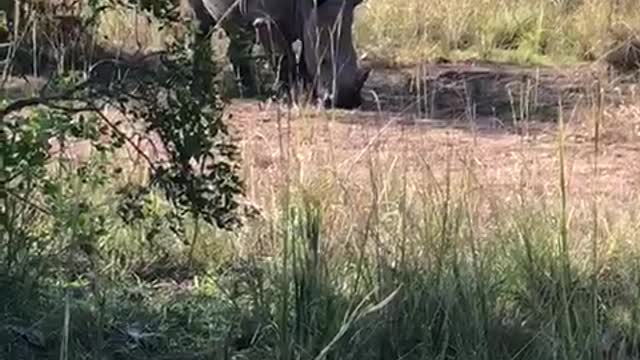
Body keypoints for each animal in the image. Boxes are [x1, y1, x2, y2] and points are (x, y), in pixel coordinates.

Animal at [184, 0, 370, 108]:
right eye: (324, 61)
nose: (347, 102)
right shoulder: (266, 21)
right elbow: (283, 57)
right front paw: (286, 96)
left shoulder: (306, 24)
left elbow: (303, 58)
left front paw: (307, 91)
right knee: (202, 23)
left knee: (240, 32)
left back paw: (249, 90)